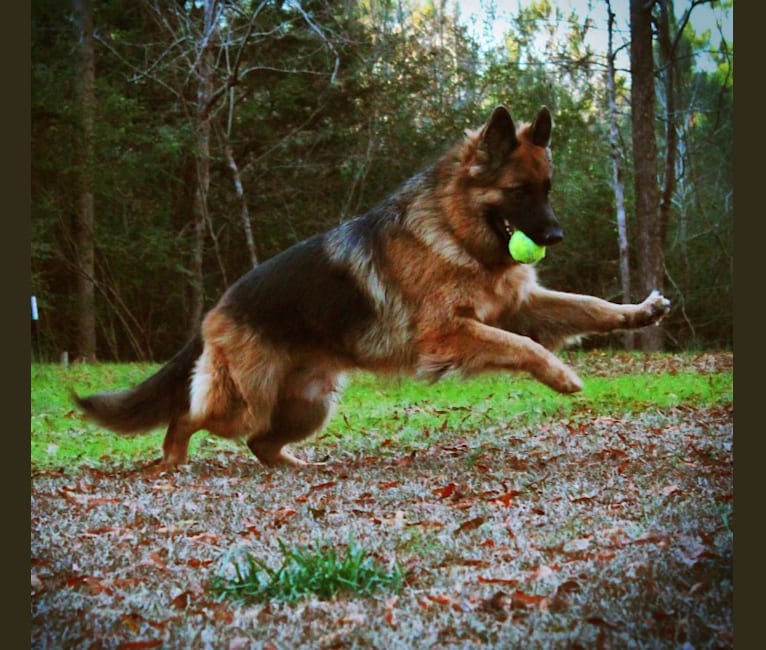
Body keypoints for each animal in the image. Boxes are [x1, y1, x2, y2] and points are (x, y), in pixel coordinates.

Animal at [73, 109, 672, 468]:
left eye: (548, 189)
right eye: (519, 190)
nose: (556, 236)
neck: (454, 227)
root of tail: (216, 309)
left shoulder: (517, 305)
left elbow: (585, 307)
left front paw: (637, 312)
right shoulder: (452, 333)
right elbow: (523, 345)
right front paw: (561, 374)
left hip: (307, 406)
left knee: (259, 442)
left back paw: (291, 466)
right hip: (247, 402)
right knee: (189, 417)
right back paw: (172, 461)